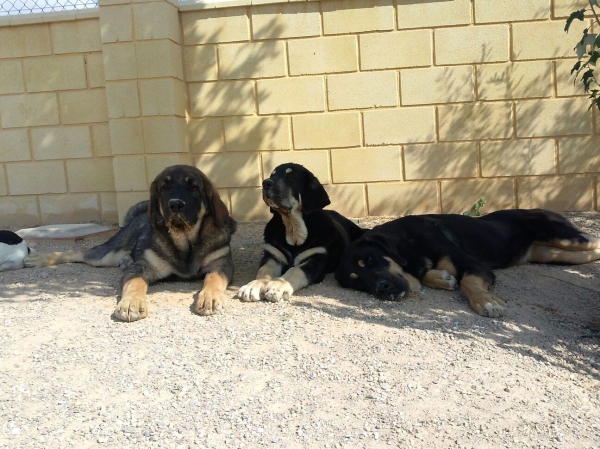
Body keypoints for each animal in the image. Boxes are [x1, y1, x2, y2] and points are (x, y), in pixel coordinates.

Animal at [25, 166, 237, 320]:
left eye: (194, 187)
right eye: (164, 187)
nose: (176, 204)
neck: (184, 240)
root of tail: (137, 217)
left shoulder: (221, 263)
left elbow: (213, 279)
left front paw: (210, 297)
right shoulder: (141, 267)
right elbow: (134, 284)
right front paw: (131, 303)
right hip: (108, 253)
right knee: (81, 251)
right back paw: (39, 258)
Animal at [238, 163, 364, 302]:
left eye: (292, 177)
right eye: (272, 175)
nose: (266, 183)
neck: (294, 230)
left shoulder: (316, 260)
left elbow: (295, 270)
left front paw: (278, 285)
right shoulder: (273, 256)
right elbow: (264, 271)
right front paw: (253, 285)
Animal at [336, 208, 600, 316]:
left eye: (370, 259)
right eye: (358, 282)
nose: (382, 289)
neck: (409, 244)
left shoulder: (476, 267)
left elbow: (468, 282)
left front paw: (486, 301)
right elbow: (427, 276)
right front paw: (441, 278)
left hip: (567, 239)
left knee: (593, 240)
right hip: (554, 254)